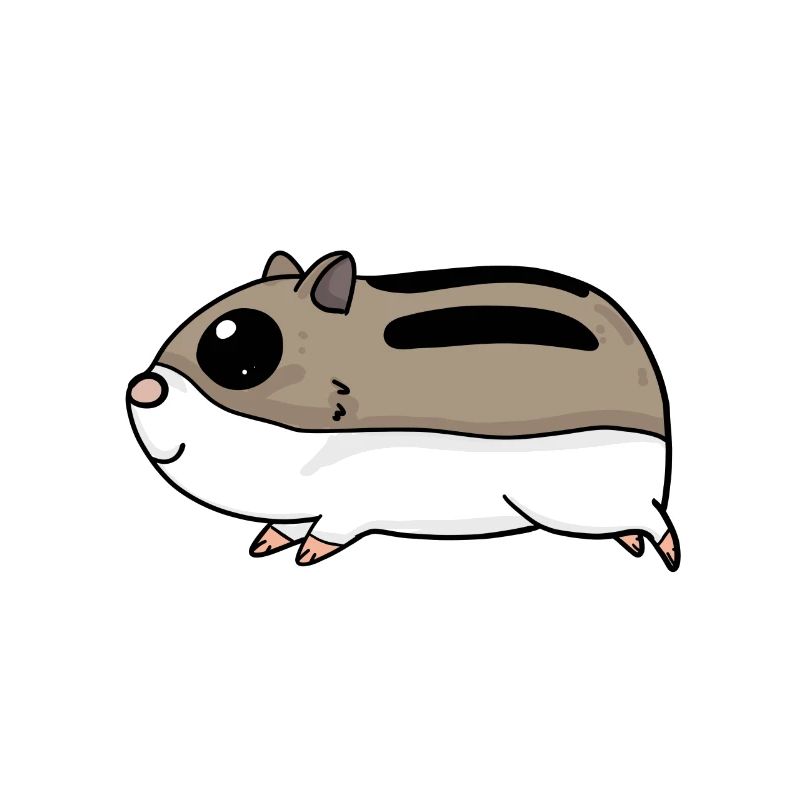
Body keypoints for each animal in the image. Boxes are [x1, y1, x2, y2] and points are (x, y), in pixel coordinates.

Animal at [126, 250, 679, 570]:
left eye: (241, 353)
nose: (142, 388)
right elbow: (287, 525)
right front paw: (266, 542)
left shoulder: (354, 499)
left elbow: (331, 529)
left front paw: (307, 554)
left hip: (575, 499)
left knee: (653, 521)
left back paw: (665, 552)